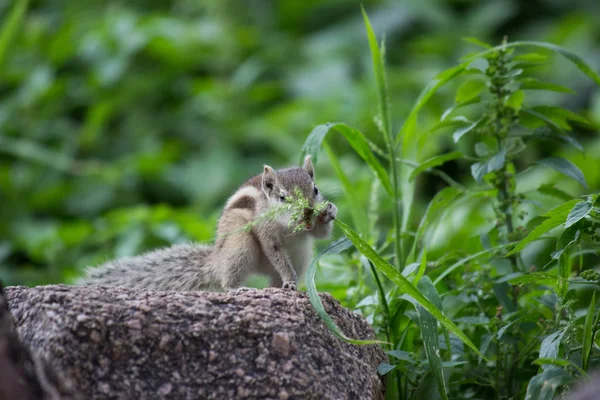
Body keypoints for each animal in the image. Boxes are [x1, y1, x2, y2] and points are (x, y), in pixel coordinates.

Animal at [77, 155, 336, 290]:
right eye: (283, 198)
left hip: (302, 254)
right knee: (227, 280)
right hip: (240, 246)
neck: (288, 225)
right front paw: (289, 281)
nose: (308, 210)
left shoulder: (307, 235)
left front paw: (329, 211)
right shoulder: (264, 229)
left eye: (315, 189)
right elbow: (274, 251)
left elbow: (320, 235)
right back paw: (239, 287)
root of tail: (216, 260)